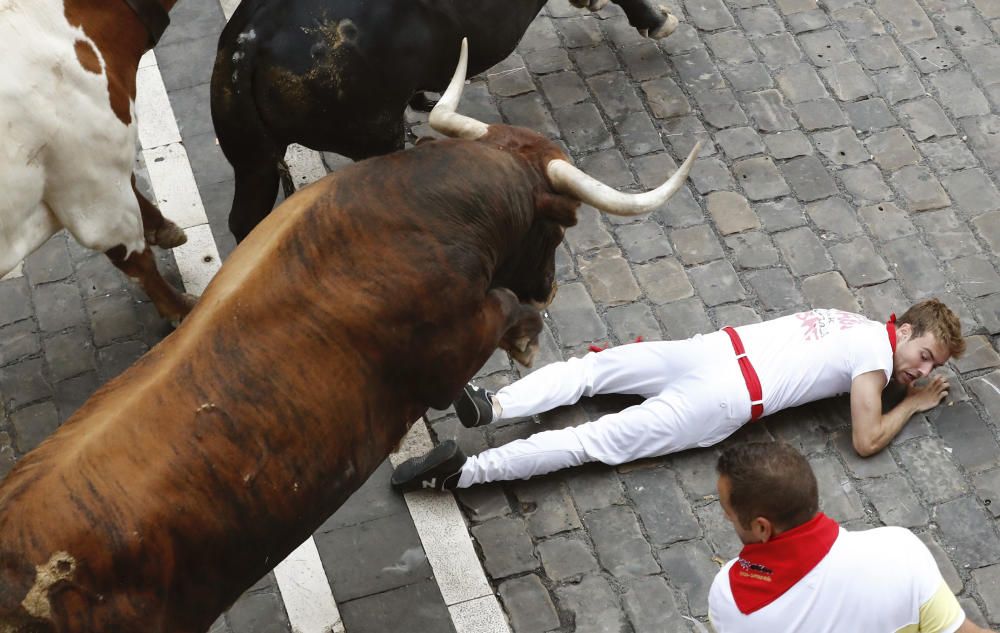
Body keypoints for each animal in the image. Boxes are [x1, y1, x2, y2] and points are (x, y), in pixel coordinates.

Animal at [0, 40, 696, 632]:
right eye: (560, 225)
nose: (550, 290)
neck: (418, 212)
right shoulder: (450, 348)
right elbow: (501, 309)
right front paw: (524, 342)